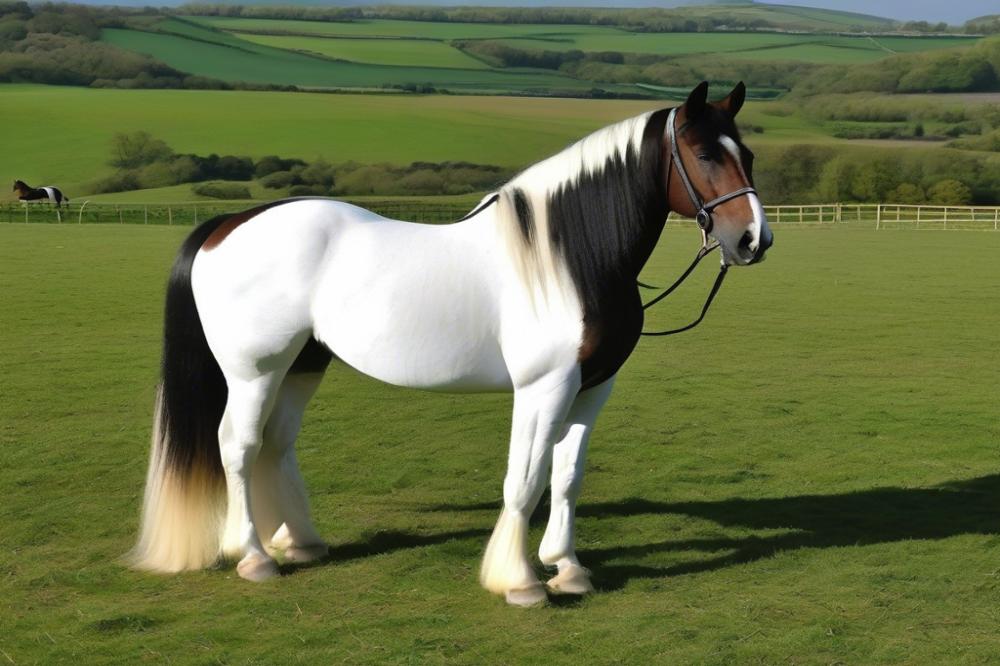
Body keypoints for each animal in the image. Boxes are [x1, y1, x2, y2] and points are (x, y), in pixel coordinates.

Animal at [129, 80, 772, 604]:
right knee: (237, 446)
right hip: (254, 371)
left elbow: (566, 478)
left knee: (274, 444)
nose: (753, 240)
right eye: (705, 154)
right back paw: (254, 557)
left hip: (303, 366)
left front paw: (567, 568)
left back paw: (301, 543)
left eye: (747, 155)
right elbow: (526, 480)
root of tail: (229, 224)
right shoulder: (543, 388)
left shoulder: (591, 389)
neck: (567, 259)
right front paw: (519, 581)